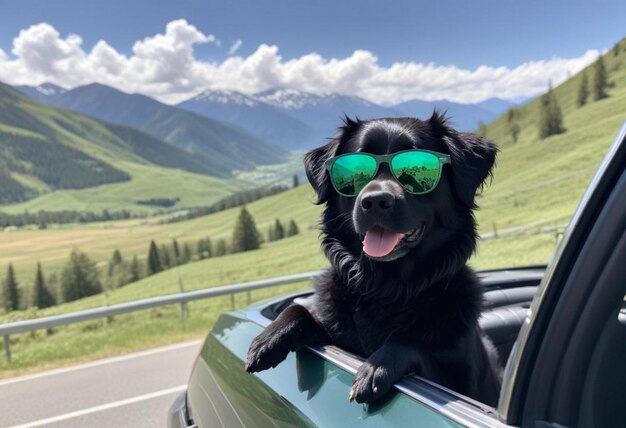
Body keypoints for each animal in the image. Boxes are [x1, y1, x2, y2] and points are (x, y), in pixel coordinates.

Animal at [244, 113, 498, 408]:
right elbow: (301, 310)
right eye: (354, 169)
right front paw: (268, 338)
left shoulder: (461, 378)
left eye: (415, 166)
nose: (376, 201)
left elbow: (412, 343)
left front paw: (376, 368)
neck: (386, 285)